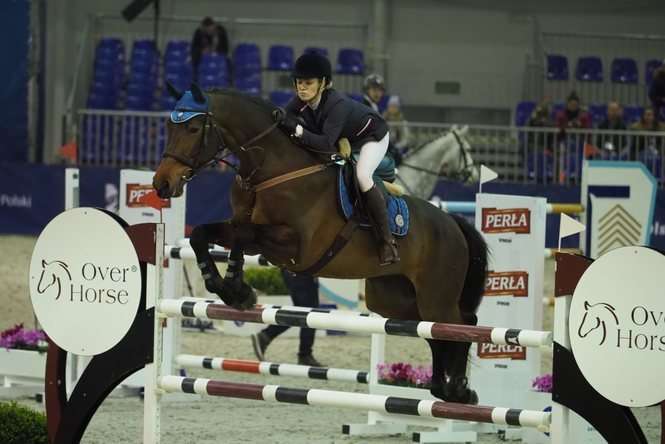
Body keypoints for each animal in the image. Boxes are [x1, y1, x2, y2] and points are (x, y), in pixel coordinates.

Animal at [152, 84, 488, 404]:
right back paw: (445, 389)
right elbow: (207, 234)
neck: (273, 170)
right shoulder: (245, 226)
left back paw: (459, 390)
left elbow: (244, 234)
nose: (161, 184)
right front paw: (233, 289)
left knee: (462, 324)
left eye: (193, 128)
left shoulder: (296, 246)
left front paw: (235, 289)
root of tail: (452, 223)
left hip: (436, 295)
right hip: (396, 299)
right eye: (168, 126)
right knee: (436, 333)